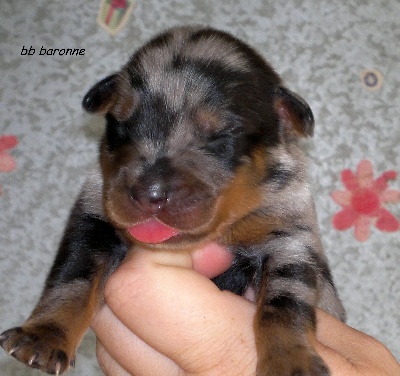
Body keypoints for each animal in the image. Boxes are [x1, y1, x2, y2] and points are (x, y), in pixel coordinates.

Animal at [0, 25, 344, 374]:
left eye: (222, 134)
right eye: (120, 124)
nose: (149, 194)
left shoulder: (289, 237)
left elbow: (285, 304)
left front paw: (290, 361)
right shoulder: (93, 220)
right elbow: (72, 279)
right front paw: (43, 334)